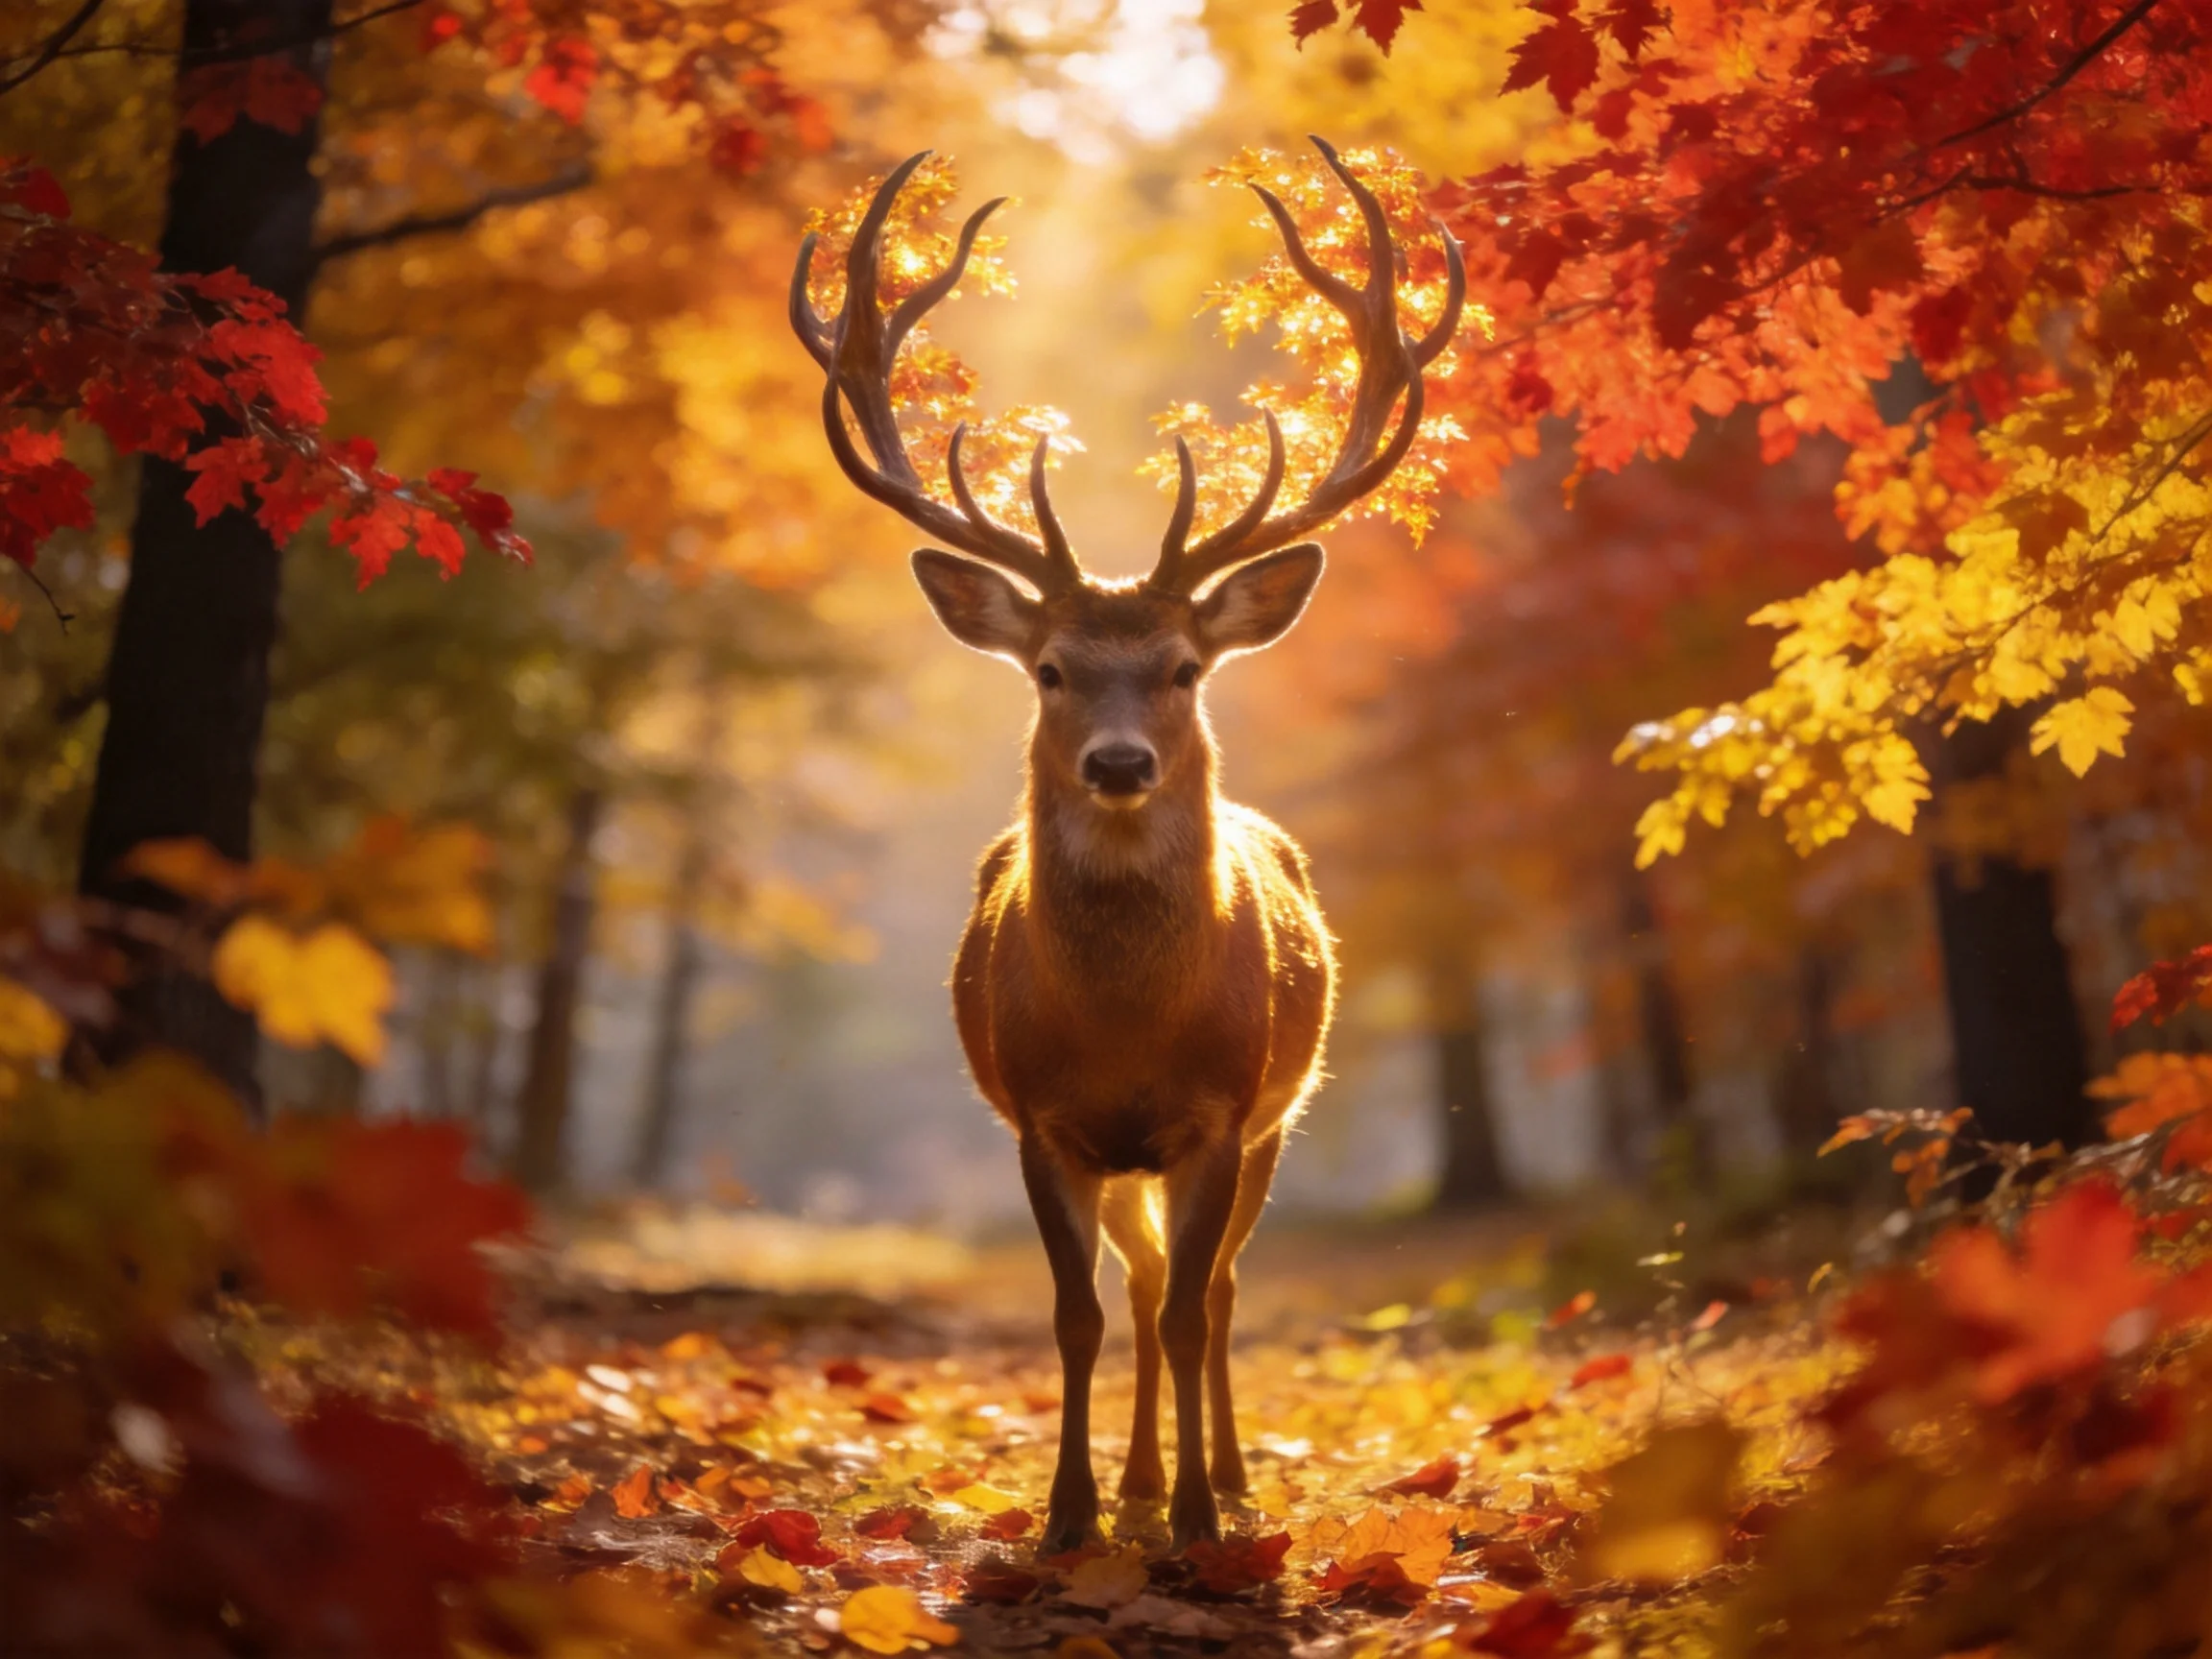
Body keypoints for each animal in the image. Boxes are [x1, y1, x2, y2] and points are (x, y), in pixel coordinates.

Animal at [791, 138, 1464, 1551]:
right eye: (1049, 669)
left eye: (1182, 669)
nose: (1117, 763)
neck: (1126, 1024)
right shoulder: (1044, 1120)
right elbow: (1080, 1315)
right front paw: (1070, 1518)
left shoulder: (1220, 1111)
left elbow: (1192, 1305)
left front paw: (1205, 1519)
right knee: (1149, 1285)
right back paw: (1146, 1481)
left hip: (1278, 1118)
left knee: (1211, 1292)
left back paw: (1221, 1481)